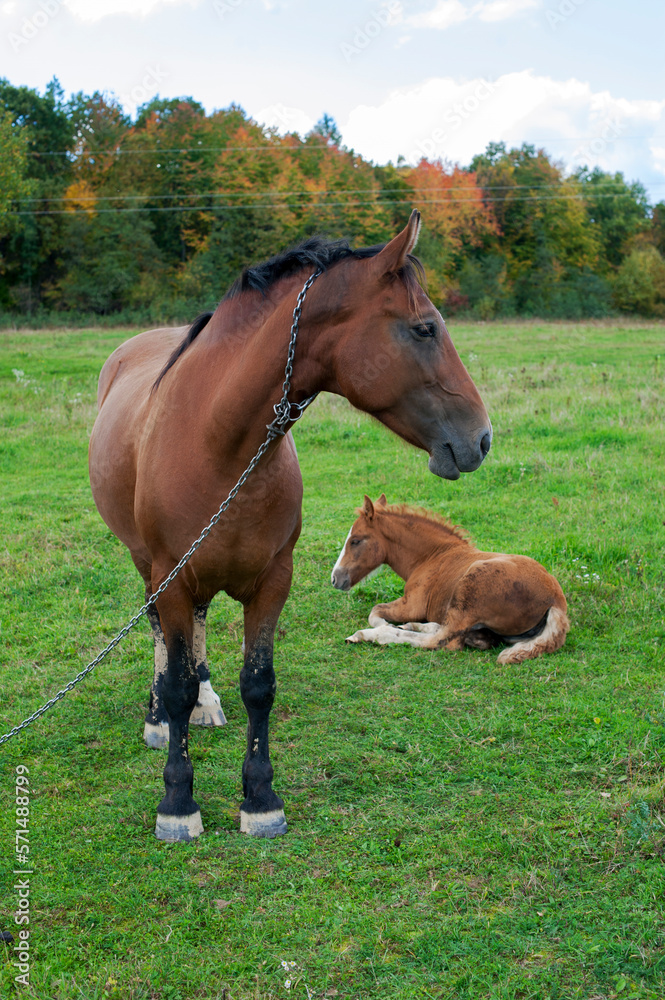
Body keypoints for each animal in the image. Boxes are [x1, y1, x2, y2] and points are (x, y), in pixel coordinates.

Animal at [88, 209, 490, 836]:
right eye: (425, 329)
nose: (481, 438)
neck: (218, 443)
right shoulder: (171, 577)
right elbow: (175, 680)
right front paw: (177, 802)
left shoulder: (273, 581)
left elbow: (259, 686)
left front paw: (260, 799)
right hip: (149, 566)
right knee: (160, 632)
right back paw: (158, 719)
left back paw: (208, 702)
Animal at [330, 492, 568, 664]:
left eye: (355, 540)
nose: (335, 578)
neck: (431, 556)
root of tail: (555, 600)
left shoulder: (411, 605)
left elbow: (375, 612)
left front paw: (384, 626)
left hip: (470, 590)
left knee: (442, 641)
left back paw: (370, 635)